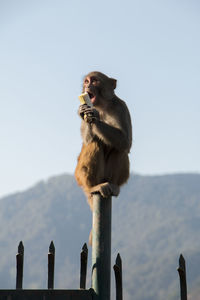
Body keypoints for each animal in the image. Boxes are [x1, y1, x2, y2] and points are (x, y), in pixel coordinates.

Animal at [74, 71, 132, 214]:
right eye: (86, 81)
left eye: (95, 81)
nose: (87, 86)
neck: (102, 106)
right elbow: (88, 140)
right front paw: (83, 112)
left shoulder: (121, 107)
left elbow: (126, 141)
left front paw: (94, 115)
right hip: (80, 176)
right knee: (94, 143)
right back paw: (94, 187)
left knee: (119, 148)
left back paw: (113, 185)